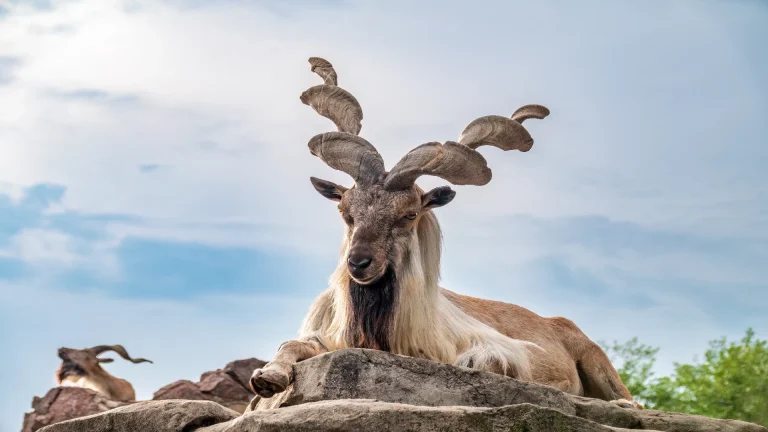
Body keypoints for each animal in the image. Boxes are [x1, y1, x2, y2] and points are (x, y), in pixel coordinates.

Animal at [250, 57, 640, 408]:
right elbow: (295, 345)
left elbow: (485, 360)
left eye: (409, 214)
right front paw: (267, 378)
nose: (359, 263)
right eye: (346, 212)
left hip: (596, 360)